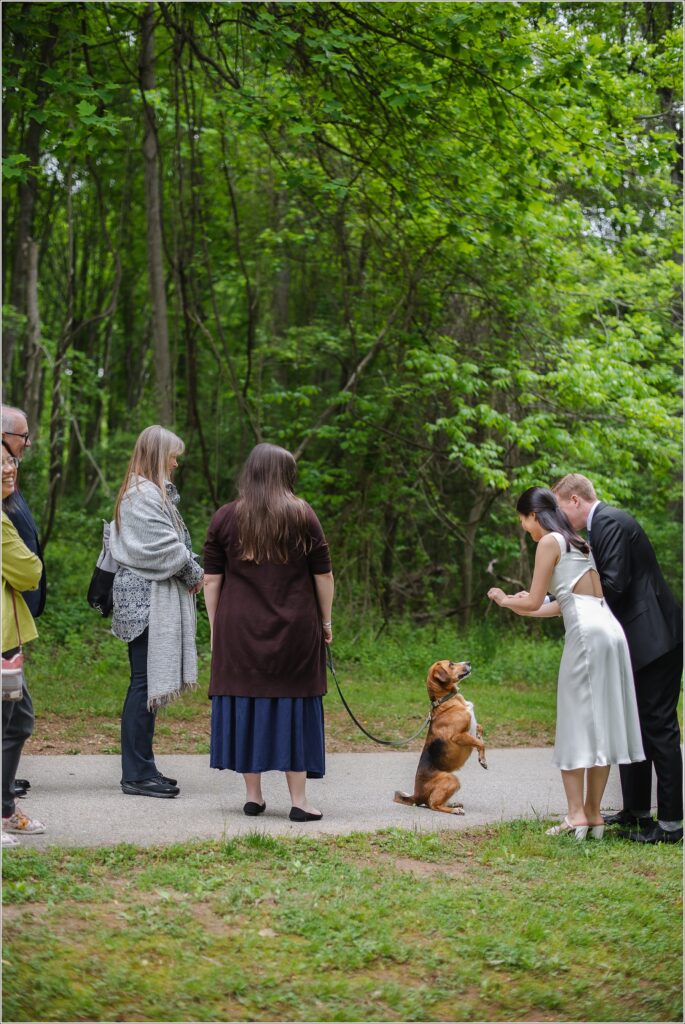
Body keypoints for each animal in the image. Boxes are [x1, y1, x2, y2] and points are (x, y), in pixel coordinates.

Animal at [389, 663, 485, 815]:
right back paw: (454, 809)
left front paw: (480, 737)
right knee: (433, 805)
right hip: (451, 779)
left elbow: (480, 730)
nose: (469, 662)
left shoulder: (472, 727)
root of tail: (416, 795)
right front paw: (482, 760)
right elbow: (481, 744)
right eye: (451, 664)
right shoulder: (458, 736)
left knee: (431, 802)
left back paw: (452, 803)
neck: (446, 700)